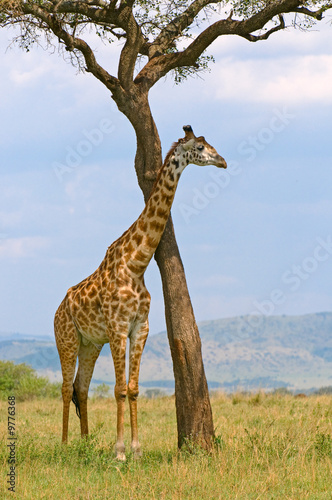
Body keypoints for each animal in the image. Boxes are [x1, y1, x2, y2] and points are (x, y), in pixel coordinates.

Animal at [54, 125, 227, 460]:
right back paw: (66, 446)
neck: (136, 264)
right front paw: (119, 451)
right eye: (201, 147)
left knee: (81, 388)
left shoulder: (140, 327)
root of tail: (57, 310)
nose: (223, 161)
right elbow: (120, 389)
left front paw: (136, 450)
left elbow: (133, 388)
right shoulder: (118, 328)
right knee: (67, 387)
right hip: (66, 339)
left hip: (89, 344)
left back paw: (84, 444)